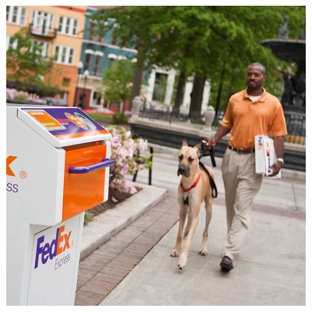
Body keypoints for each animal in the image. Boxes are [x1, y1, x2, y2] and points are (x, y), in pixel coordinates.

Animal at [171, 139, 217, 268]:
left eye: (191, 159)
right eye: (180, 156)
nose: (181, 168)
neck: (188, 182)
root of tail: (207, 167)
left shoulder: (197, 217)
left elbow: (189, 241)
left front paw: (182, 260)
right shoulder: (182, 210)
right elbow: (179, 233)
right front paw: (176, 249)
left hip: (209, 208)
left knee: (205, 230)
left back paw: (203, 248)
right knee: (189, 218)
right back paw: (186, 230)